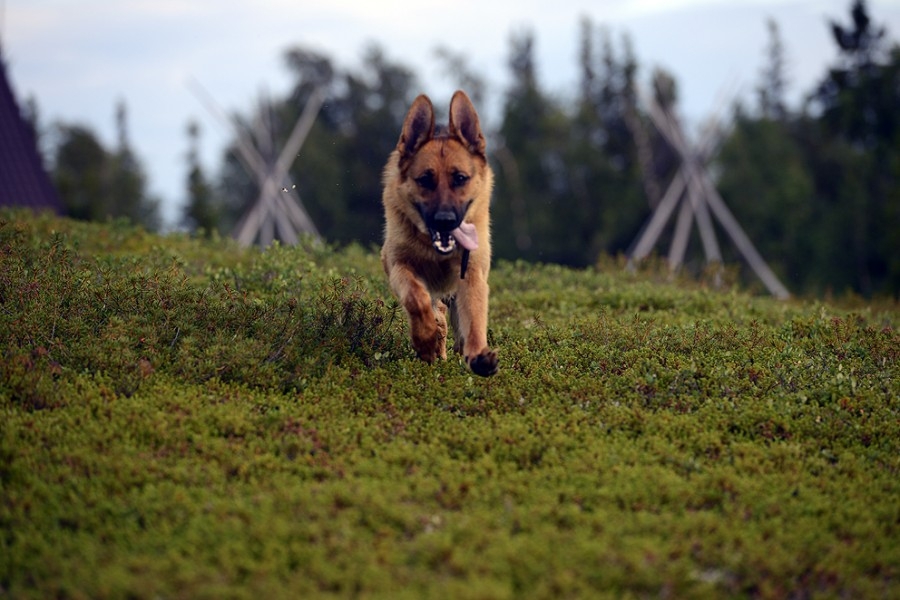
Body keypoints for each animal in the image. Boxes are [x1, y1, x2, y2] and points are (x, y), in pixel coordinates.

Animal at [376, 89, 496, 376]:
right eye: (425, 180)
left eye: (460, 178)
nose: (445, 220)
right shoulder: (398, 265)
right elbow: (416, 299)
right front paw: (426, 341)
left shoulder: (472, 273)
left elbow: (475, 316)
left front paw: (478, 354)